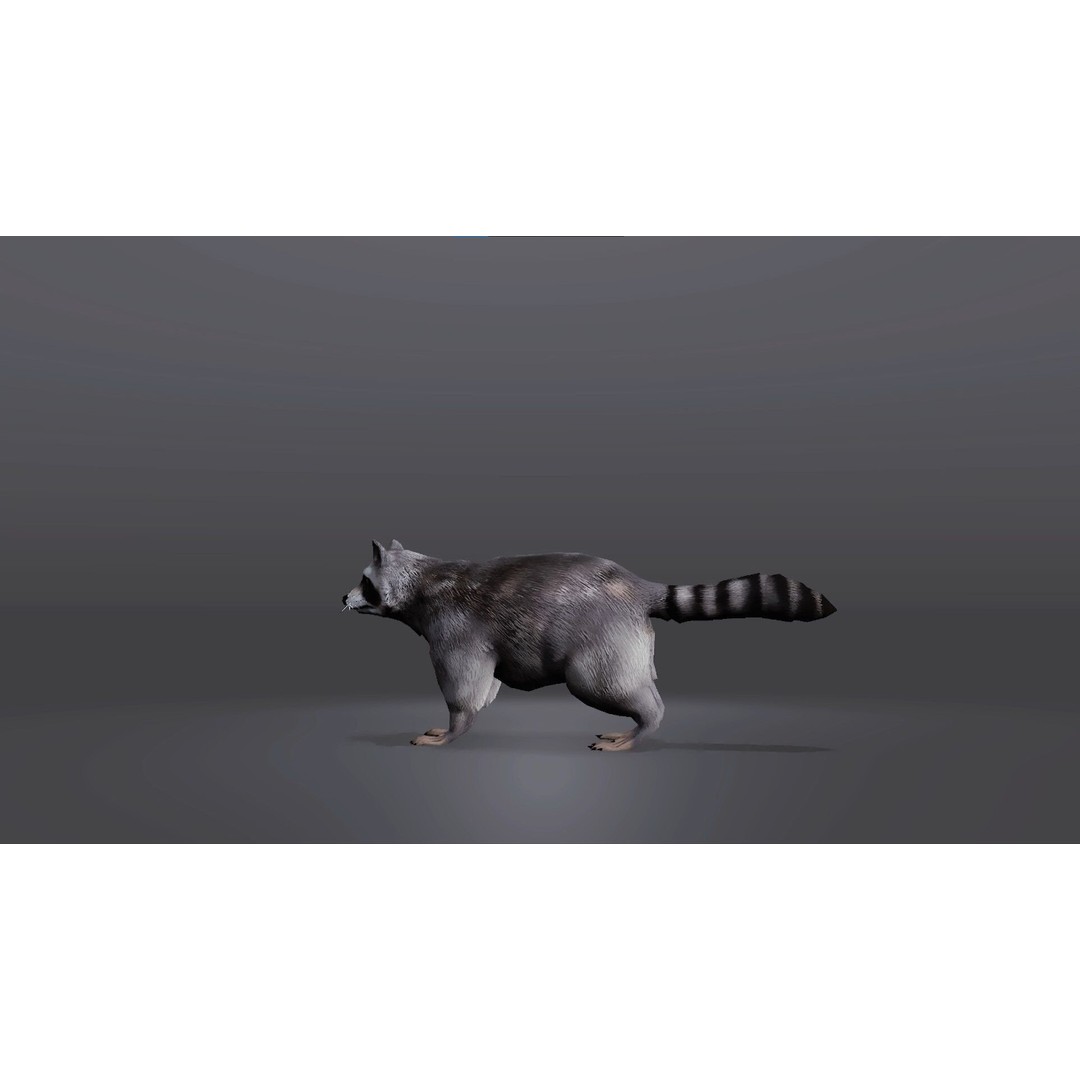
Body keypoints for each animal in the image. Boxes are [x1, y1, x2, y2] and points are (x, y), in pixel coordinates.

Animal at [343, 540, 836, 751]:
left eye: (365, 582)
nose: (342, 598)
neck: (424, 577)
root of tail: (635, 586)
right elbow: (487, 681)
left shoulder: (454, 626)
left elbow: (463, 685)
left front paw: (454, 728)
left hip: (601, 635)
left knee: (600, 683)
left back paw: (644, 724)